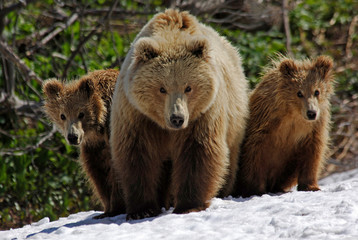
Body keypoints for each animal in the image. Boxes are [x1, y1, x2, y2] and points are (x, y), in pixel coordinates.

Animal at [42, 69, 124, 218]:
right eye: (62, 115)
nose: (72, 137)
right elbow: (97, 172)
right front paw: (107, 209)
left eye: (81, 113)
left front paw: (116, 208)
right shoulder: (94, 147)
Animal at [110, 8, 248, 220]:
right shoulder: (136, 114)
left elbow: (198, 151)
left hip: (235, 116)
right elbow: (138, 154)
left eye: (188, 87)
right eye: (162, 89)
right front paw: (142, 209)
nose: (177, 118)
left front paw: (189, 204)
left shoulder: (203, 114)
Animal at [234, 55, 334, 197]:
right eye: (299, 93)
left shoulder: (314, 129)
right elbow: (255, 154)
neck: (293, 115)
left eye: (317, 91)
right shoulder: (265, 124)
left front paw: (311, 186)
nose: (311, 113)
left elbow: (312, 154)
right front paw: (255, 189)